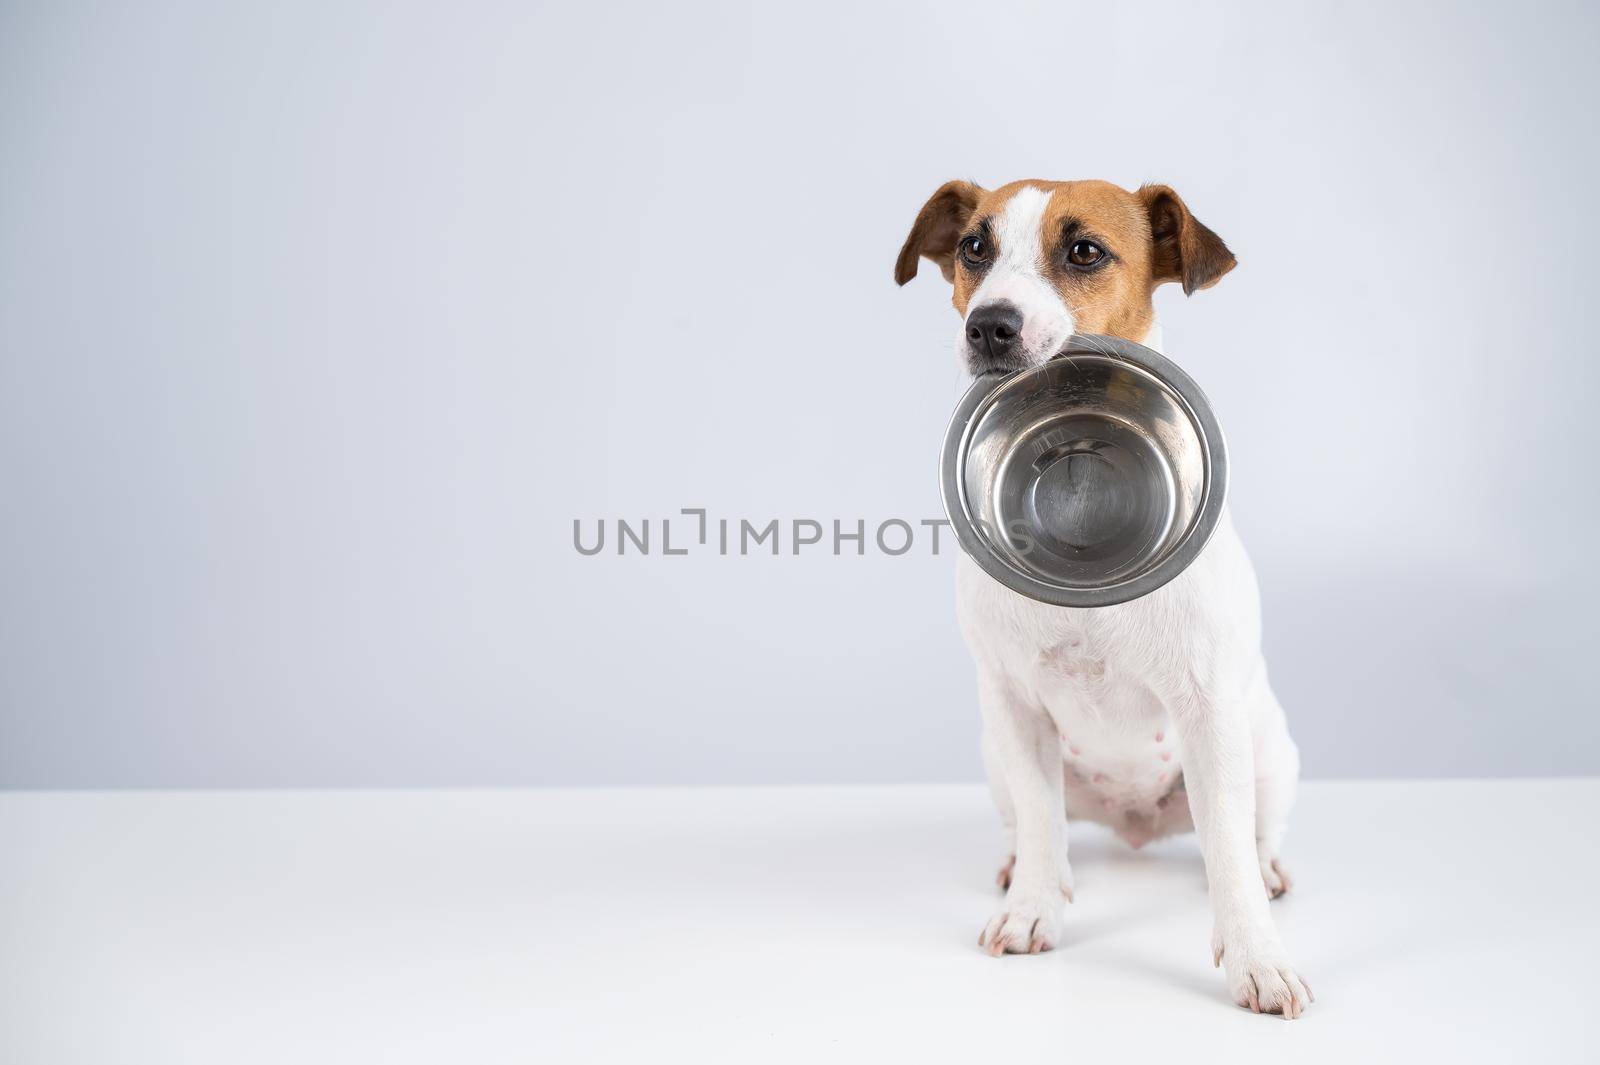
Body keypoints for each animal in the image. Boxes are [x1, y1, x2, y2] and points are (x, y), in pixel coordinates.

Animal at [896, 180, 1305, 1010]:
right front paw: (1033, 908)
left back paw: (1268, 868)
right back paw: (1020, 868)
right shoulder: (1015, 707)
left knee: (1248, 835)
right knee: (1034, 824)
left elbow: (1228, 857)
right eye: (974, 247)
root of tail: (1134, 827)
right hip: (996, 756)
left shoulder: (1209, 711)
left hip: (1269, 753)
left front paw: (1257, 956)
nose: (989, 325)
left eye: (1085, 251)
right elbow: (1041, 822)